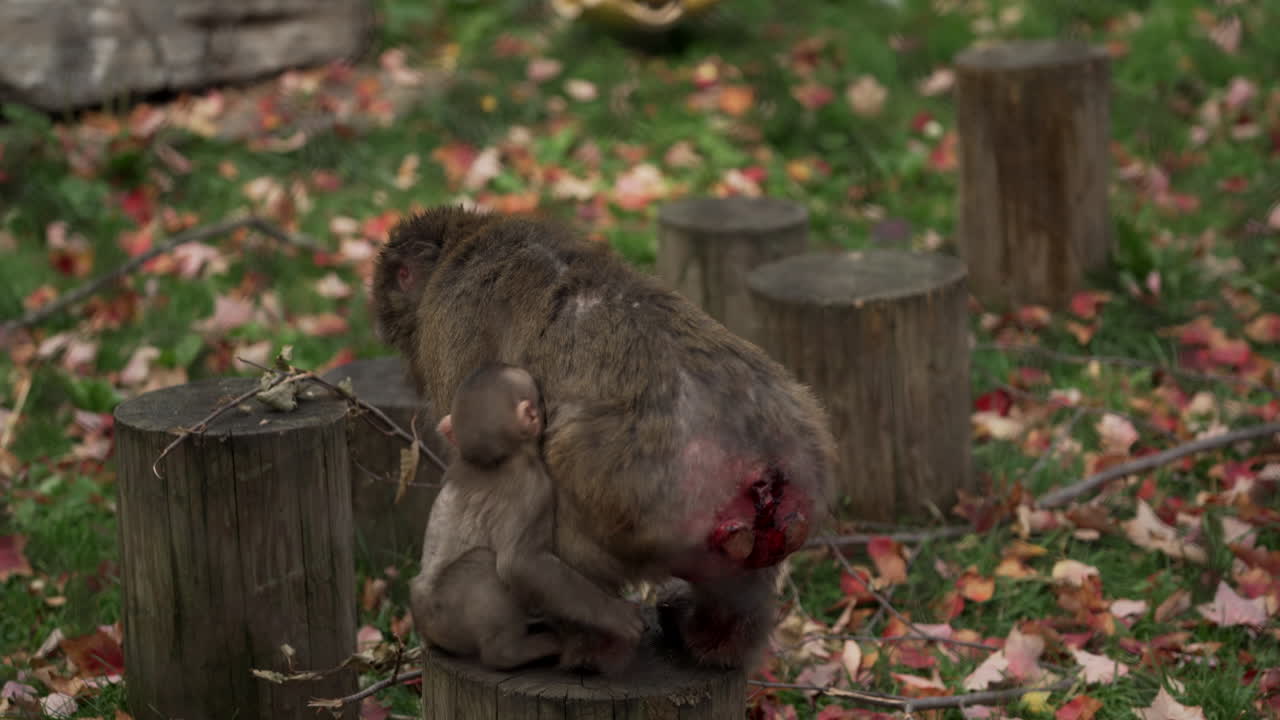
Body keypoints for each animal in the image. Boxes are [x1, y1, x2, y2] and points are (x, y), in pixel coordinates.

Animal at [410, 362, 645, 671]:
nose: (545, 406)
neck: (499, 460)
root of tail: (424, 623)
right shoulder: (537, 487)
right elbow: (521, 564)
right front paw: (616, 614)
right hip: (449, 612)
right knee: (484, 565)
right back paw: (512, 651)